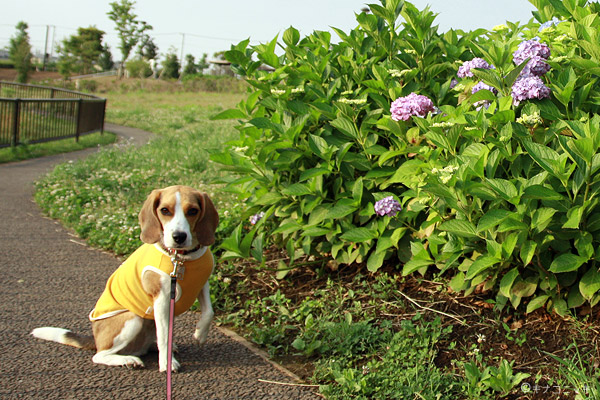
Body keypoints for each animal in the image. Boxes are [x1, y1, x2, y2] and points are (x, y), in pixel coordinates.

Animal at [30, 187, 218, 372]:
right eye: (165, 210)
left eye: (193, 210)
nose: (179, 237)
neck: (182, 258)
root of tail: (96, 338)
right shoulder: (162, 299)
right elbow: (165, 336)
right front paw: (167, 363)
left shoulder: (202, 284)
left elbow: (209, 312)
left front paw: (200, 334)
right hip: (132, 318)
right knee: (100, 355)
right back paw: (128, 359)